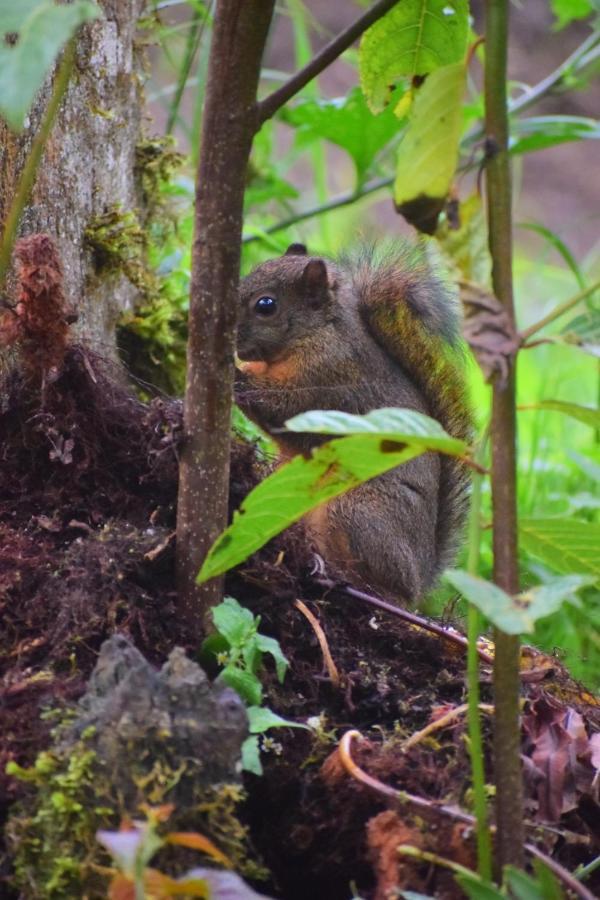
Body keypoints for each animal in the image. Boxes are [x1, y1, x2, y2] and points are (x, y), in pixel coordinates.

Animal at [236, 243, 474, 604]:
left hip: (359, 512)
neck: (319, 332)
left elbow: (282, 409)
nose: (232, 340)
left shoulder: (325, 380)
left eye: (266, 305)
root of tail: (420, 580)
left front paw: (234, 374)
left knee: (387, 589)